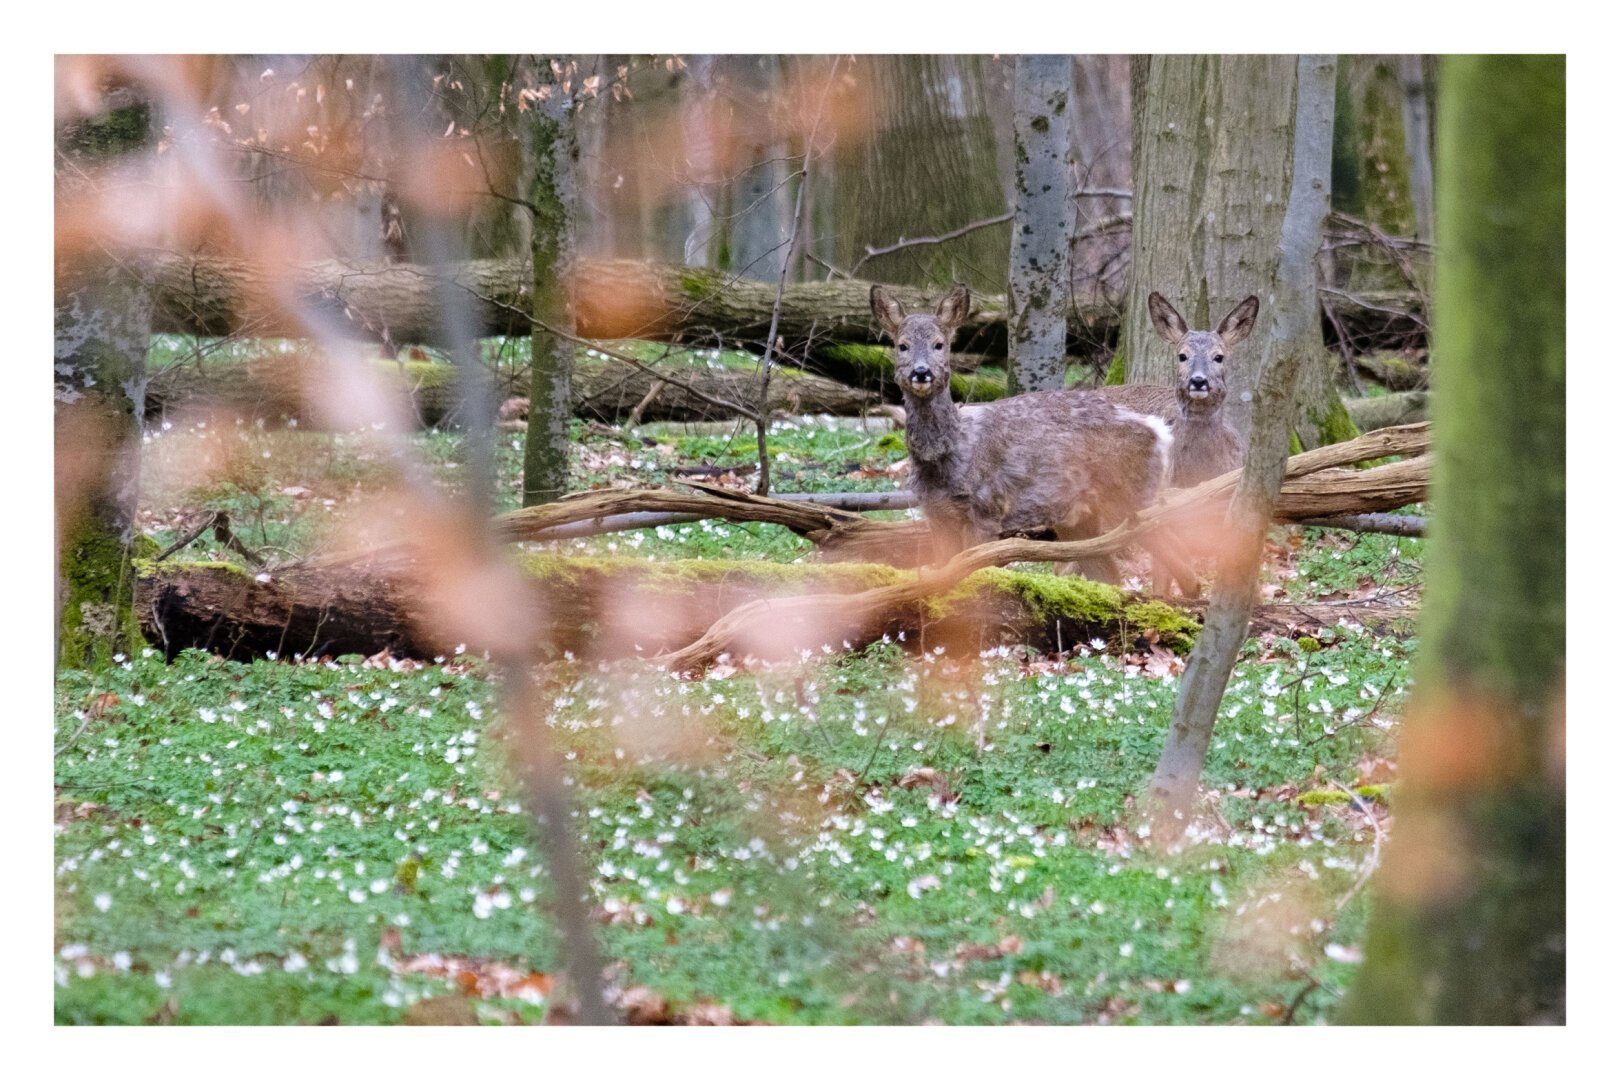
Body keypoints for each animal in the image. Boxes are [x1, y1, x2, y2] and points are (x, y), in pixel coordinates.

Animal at [868, 283, 1198, 592]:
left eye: (939, 344)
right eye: (902, 345)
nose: (921, 372)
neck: (952, 453)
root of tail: (1159, 431)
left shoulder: (986, 509)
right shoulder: (936, 515)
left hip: (1130, 498)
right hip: (1080, 519)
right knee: (1113, 575)